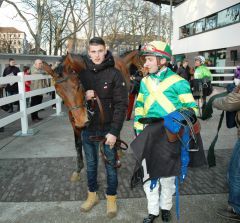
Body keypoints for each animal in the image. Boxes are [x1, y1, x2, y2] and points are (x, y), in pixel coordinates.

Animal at [42, 50, 143, 181]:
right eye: (59, 92)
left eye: (78, 85)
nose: (81, 120)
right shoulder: (75, 124)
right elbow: (78, 145)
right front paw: (78, 169)